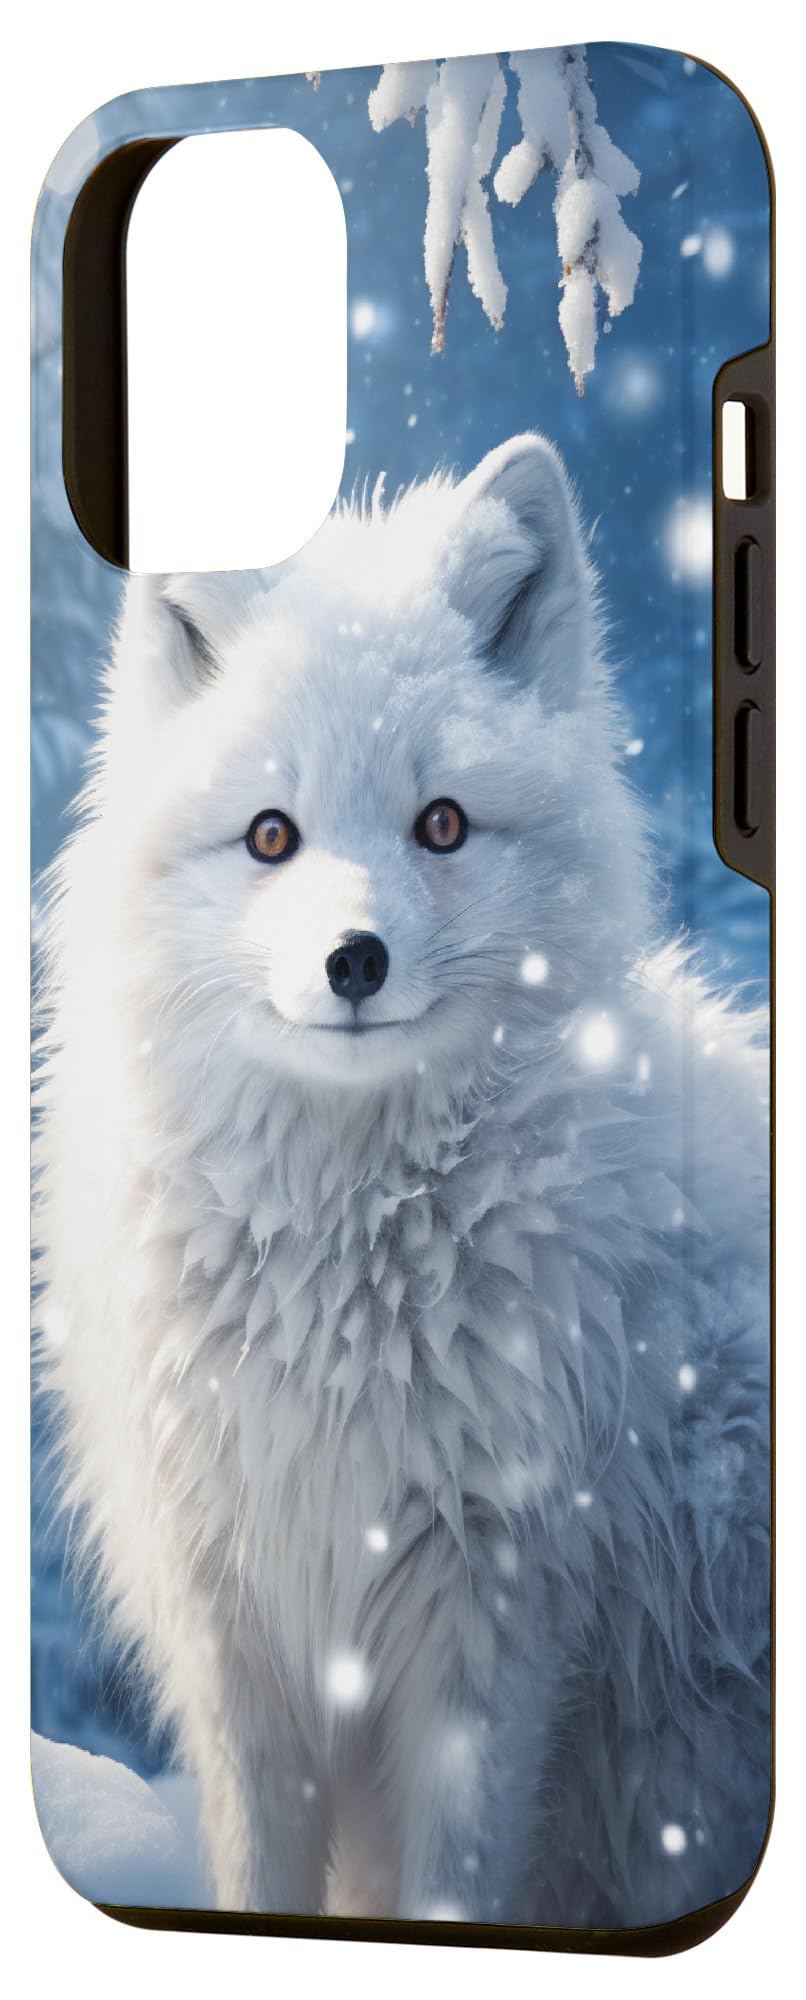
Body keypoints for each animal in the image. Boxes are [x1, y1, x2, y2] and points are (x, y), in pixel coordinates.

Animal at [35, 435, 770, 1929]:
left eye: (441, 823)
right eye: (269, 835)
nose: (355, 960)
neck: (342, 1266)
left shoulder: (489, 1615)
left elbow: (451, 1886)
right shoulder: (236, 1619)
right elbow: (258, 1870)